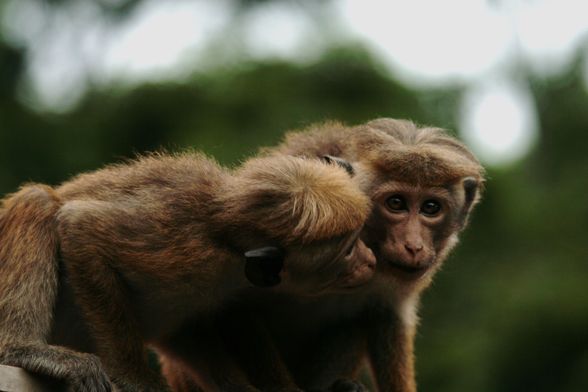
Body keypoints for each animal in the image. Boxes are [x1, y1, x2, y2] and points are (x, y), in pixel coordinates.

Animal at [0, 153, 374, 392]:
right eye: (348, 251)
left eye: (360, 237)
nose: (369, 260)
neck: (225, 241)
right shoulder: (181, 242)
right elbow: (81, 228)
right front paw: (133, 376)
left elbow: (192, 327)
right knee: (38, 201)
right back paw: (20, 348)